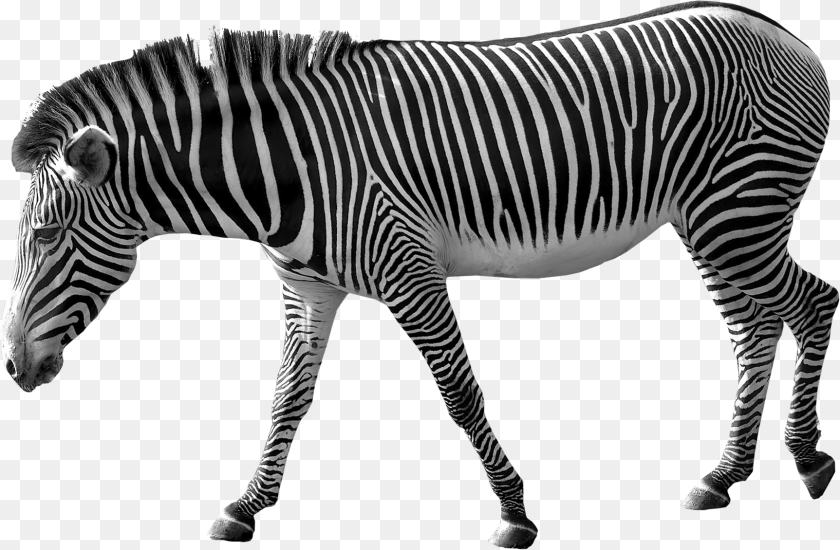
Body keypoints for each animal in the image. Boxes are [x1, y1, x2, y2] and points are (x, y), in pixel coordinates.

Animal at [2, 1, 836, 547]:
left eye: (44, 234)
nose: (14, 369)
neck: (282, 173)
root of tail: (787, 34)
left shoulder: (410, 271)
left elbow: (460, 395)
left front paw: (514, 511)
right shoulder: (307, 286)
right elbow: (287, 399)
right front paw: (246, 505)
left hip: (737, 210)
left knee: (812, 302)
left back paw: (806, 459)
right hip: (710, 220)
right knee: (757, 327)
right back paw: (725, 475)